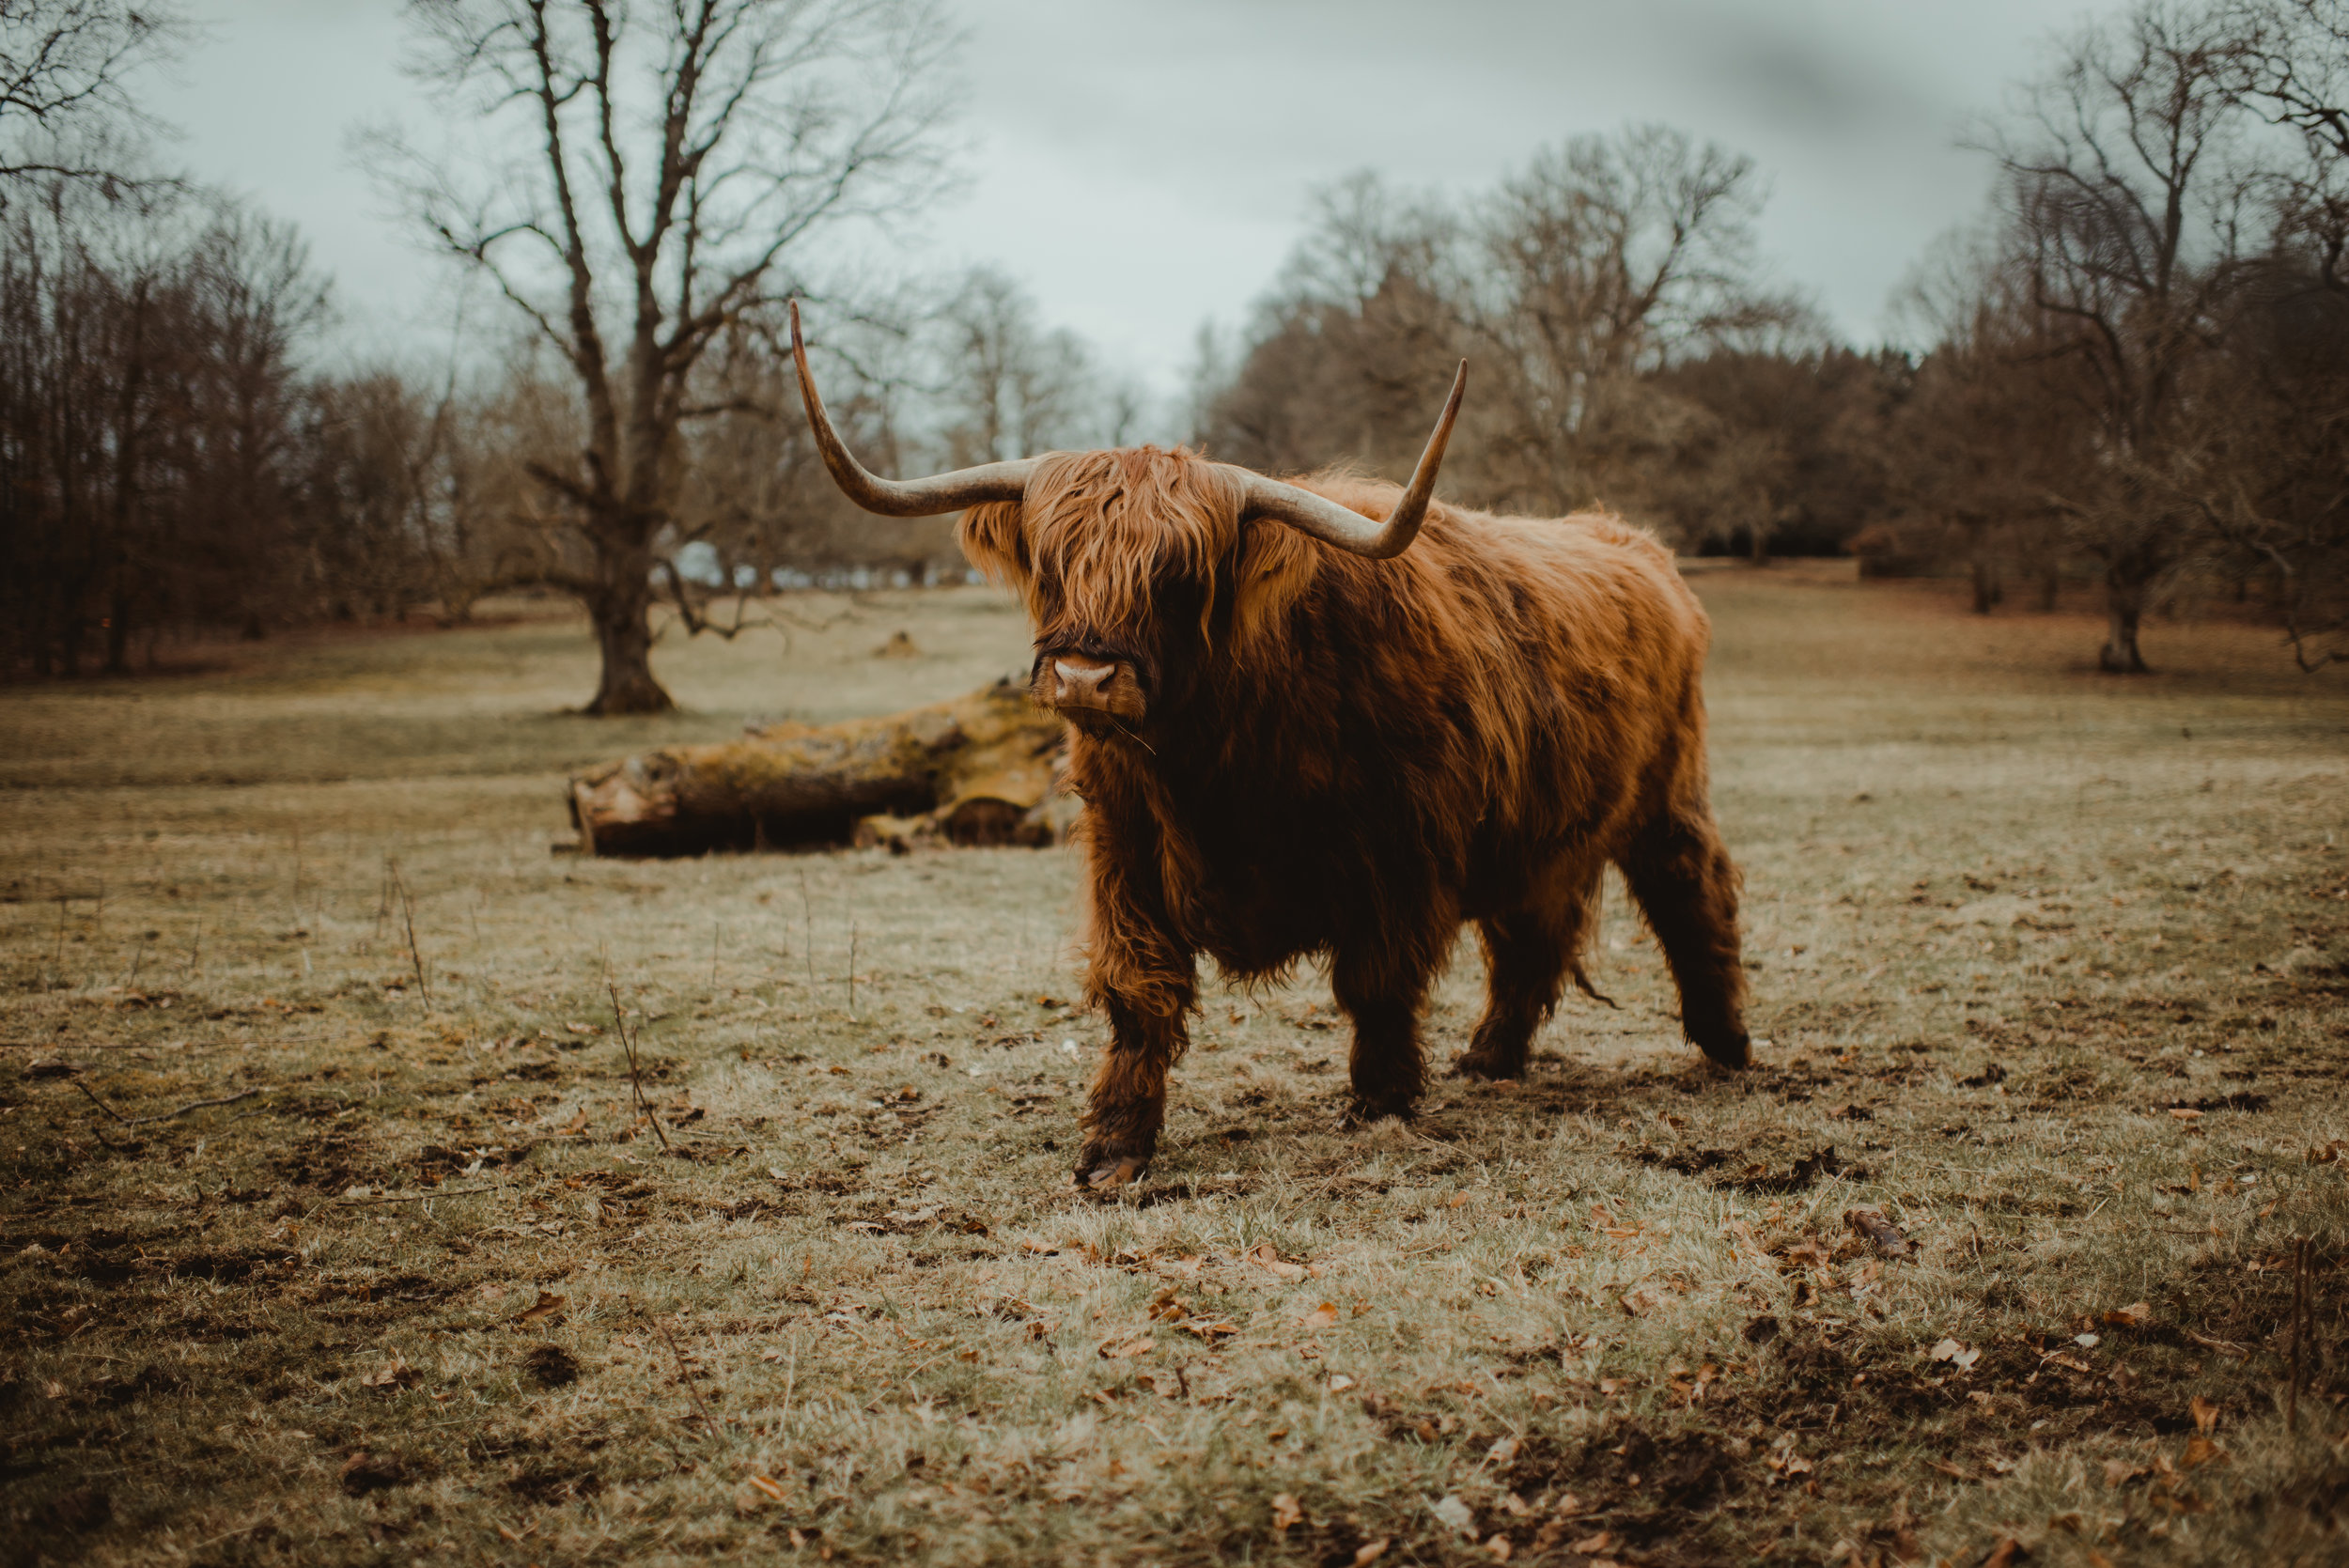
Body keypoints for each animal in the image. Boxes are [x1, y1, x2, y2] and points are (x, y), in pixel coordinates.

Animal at [799, 303, 1757, 1188]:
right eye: (1052, 561)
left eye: (1178, 573)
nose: (1083, 676)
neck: (1221, 763)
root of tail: (1633, 544)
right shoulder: (1124, 849)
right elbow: (1136, 989)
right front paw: (1114, 1145)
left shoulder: (1400, 854)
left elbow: (1377, 985)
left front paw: (1381, 1103)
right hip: (1541, 827)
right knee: (1532, 933)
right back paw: (1489, 1058)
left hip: (1667, 791)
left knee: (1693, 889)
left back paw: (1726, 1044)